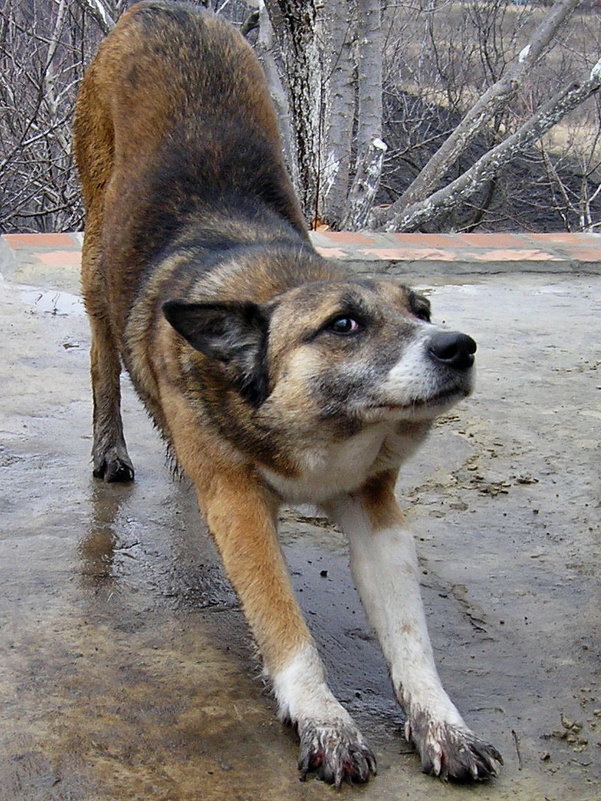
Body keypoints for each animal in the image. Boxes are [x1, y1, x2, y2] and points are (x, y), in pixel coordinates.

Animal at [74, 1, 502, 788]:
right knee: (103, 359)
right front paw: (324, 719)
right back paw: (111, 446)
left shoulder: (377, 513)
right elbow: (285, 624)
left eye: (422, 309)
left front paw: (441, 723)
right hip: (94, 261)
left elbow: (410, 637)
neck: (326, 436)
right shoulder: (240, 507)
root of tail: (164, 11)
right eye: (343, 324)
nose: (459, 347)